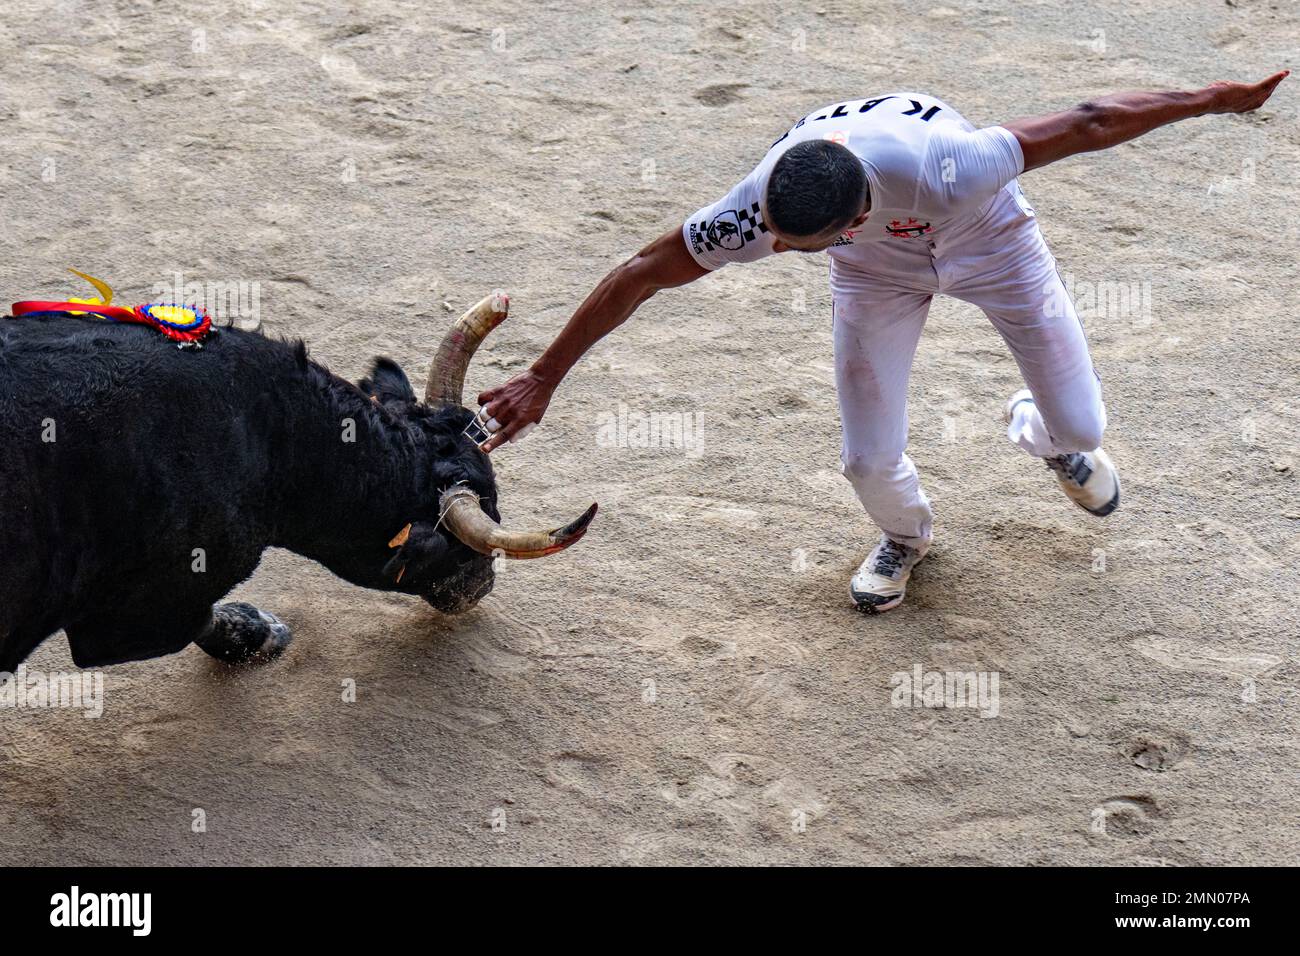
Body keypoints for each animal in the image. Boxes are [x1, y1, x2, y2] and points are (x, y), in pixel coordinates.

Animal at [0, 306, 595, 671]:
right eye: (458, 545)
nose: (483, 587)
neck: (270, 433)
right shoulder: (144, 609)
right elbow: (201, 619)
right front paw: (260, 632)